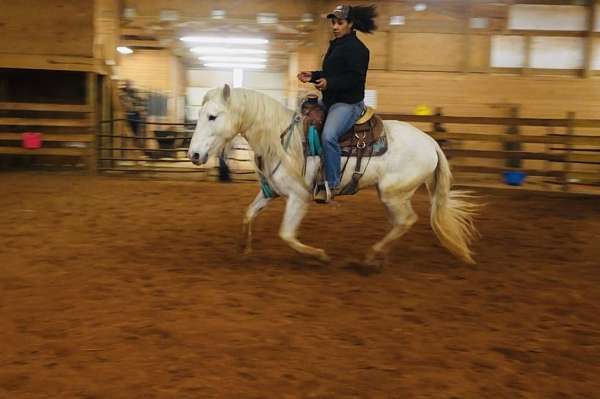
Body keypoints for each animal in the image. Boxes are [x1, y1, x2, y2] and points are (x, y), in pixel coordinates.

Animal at [188, 85, 478, 268]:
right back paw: (380, 257)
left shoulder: (298, 197)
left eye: (212, 116)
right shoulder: (272, 191)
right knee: (400, 223)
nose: (193, 154)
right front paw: (244, 250)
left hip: (393, 194)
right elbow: (248, 215)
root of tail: (432, 143)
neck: (279, 137)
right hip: (392, 196)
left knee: (406, 221)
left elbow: (287, 235)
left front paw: (319, 256)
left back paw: (371, 257)